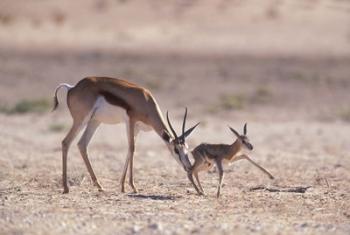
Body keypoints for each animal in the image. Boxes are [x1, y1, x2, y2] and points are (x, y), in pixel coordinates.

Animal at [53, 76, 198, 193]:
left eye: (187, 149)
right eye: (176, 150)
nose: (188, 167)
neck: (145, 100)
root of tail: (72, 87)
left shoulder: (137, 128)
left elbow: (130, 150)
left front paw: (122, 186)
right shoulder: (131, 121)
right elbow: (132, 148)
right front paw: (133, 187)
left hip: (95, 121)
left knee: (82, 144)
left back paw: (99, 186)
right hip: (81, 120)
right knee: (66, 142)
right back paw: (66, 188)